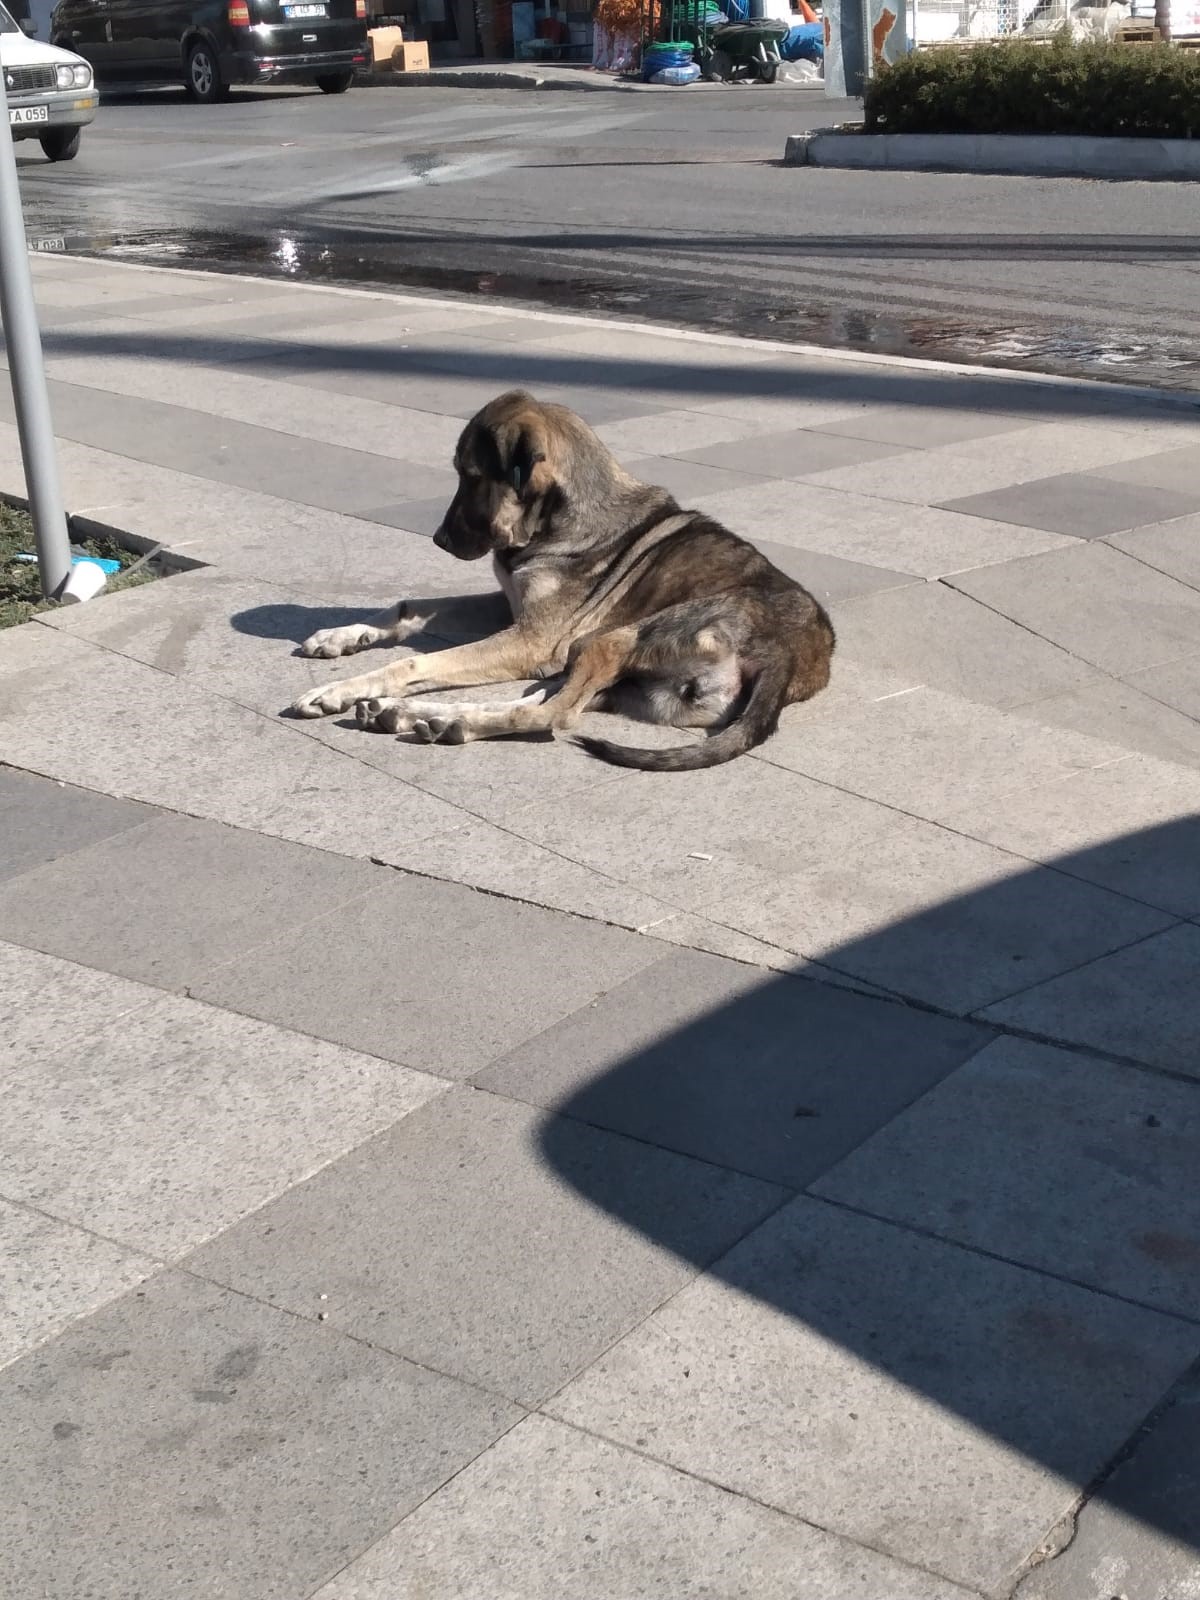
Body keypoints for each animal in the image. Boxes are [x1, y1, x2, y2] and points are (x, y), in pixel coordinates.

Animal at [291, 390, 838, 771]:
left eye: (470, 475)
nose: (439, 540)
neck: (558, 519)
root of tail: (790, 658)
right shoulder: (508, 608)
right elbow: (408, 608)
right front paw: (343, 636)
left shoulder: (531, 640)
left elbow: (417, 662)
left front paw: (342, 686)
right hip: (614, 677)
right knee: (539, 700)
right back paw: (420, 715)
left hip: (609, 641)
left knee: (551, 715)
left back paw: (442, 720)